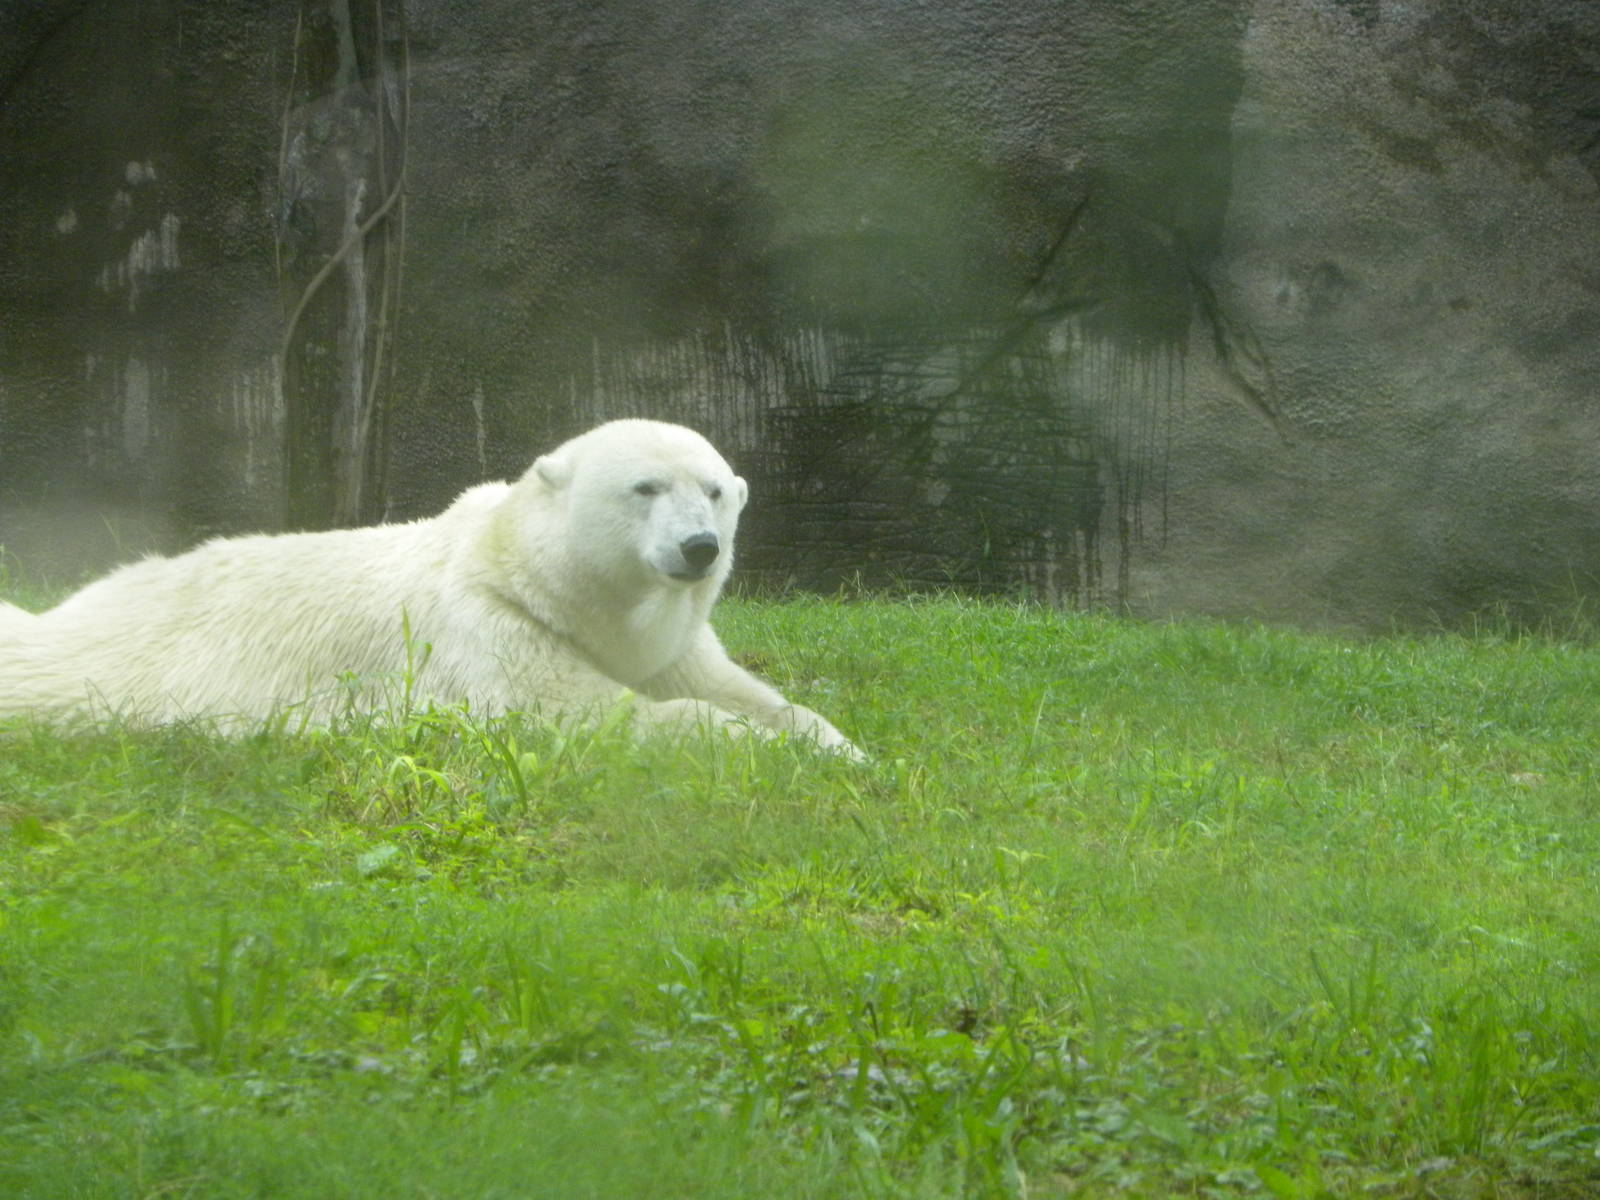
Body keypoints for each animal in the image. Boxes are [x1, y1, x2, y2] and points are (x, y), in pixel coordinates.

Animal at [0, 419, 861, 757]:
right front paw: (760, 744)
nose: (699, 548)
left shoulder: (671, 643)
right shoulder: (490, 628)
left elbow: (738, 688)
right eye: (645, 487)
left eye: (714, 491)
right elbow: (583, 712)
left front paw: (838, 745)